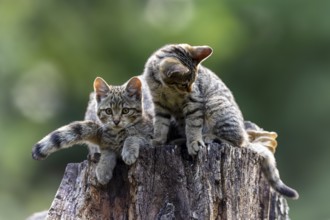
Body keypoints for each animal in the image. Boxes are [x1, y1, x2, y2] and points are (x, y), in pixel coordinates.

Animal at [143, 43, 298, 199]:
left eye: (193, 81)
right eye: (183, 84)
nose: (190, 89)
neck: (163, 87)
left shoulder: (194, 102)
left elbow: (193, 127)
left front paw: (194, 143)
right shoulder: (160, 106)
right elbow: (161, 126)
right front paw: (157, 141)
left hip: (215, 103)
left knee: (237, 141)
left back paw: (208, 137)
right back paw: (180, 140)